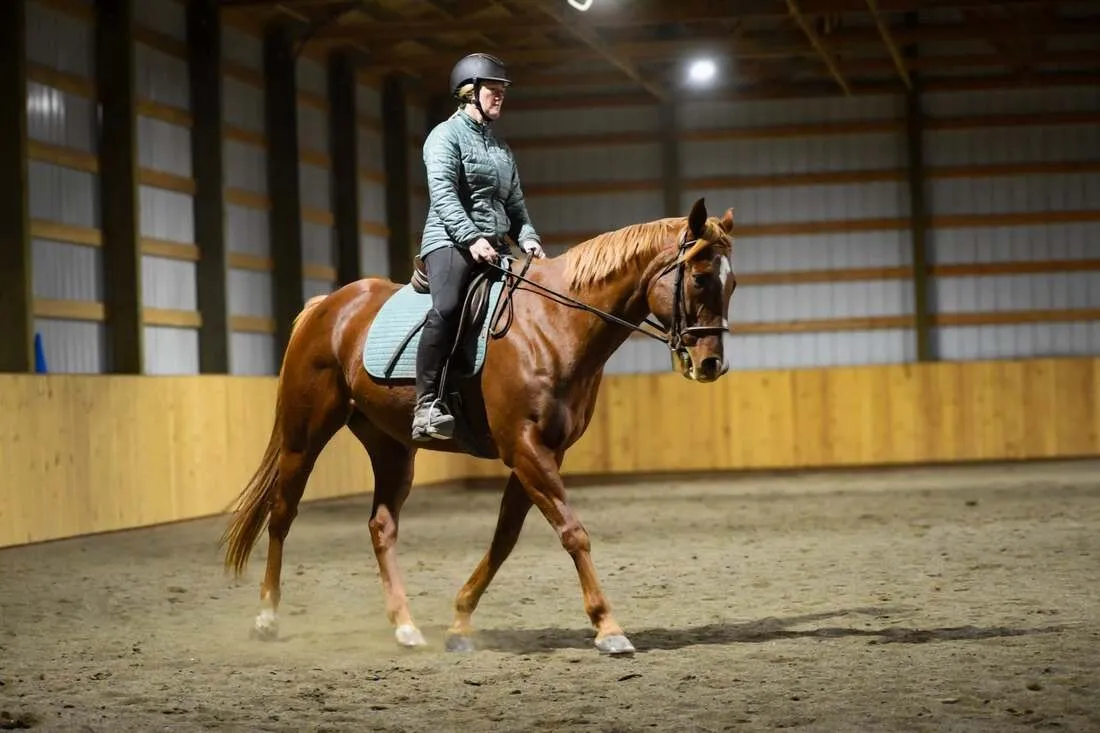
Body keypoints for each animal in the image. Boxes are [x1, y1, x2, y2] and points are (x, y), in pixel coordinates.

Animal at [218, 197, 737, 656]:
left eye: (731, 285)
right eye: (700, 277)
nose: (712, 365)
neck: (556, 323)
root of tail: (328, 305)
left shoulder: (545, 451)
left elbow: (505, 537)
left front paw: (461, 621)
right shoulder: (524, 447)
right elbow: (572, 530)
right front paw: (608, 628)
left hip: (392, 446)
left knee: (382, 525)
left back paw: (405, 627)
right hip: (304, 436)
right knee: (282, 513)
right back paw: (267, 617)